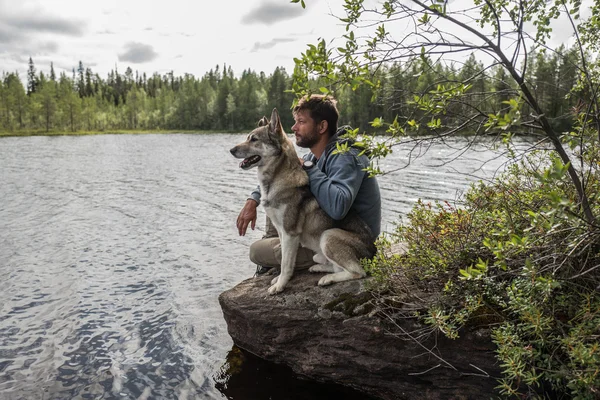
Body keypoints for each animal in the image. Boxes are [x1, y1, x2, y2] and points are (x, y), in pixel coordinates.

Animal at [230, 109, 376, 294]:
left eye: (254, 139)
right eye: (248, 137)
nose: (231, 150)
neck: (276, 178)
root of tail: (375, 254)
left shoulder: (289, 233)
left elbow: (285, 264)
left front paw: (280, 286)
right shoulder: (282, 232)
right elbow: (284, 260)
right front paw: (279, 280)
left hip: (328, 235)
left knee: (358, 271)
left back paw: (327, 279)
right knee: (332, 264)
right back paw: (319, 268)